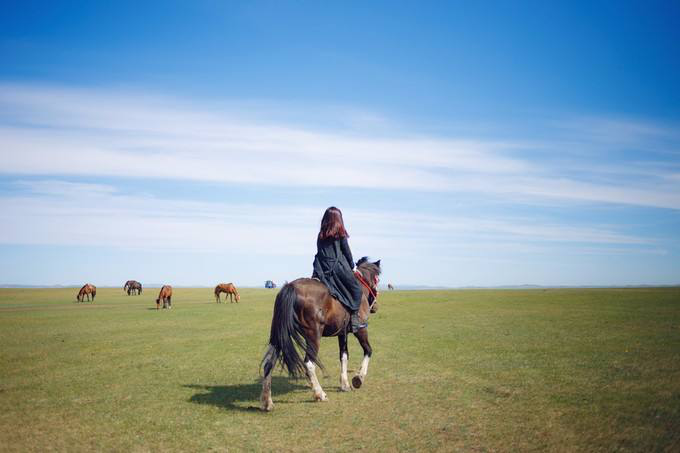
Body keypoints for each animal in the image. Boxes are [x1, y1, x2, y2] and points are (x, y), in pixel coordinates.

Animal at [258, 258, 380, 410]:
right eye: (377, 279)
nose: (375, 307)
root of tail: (291, 287)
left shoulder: (342, 333)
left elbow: (344, 356)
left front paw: (345, 384)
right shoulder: (361, 330)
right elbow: (368, 350)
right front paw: (358, 378)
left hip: (279, 336)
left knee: (269, 363)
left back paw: (267, 402)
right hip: (313, 336)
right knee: (309, 363)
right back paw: (320, 394)